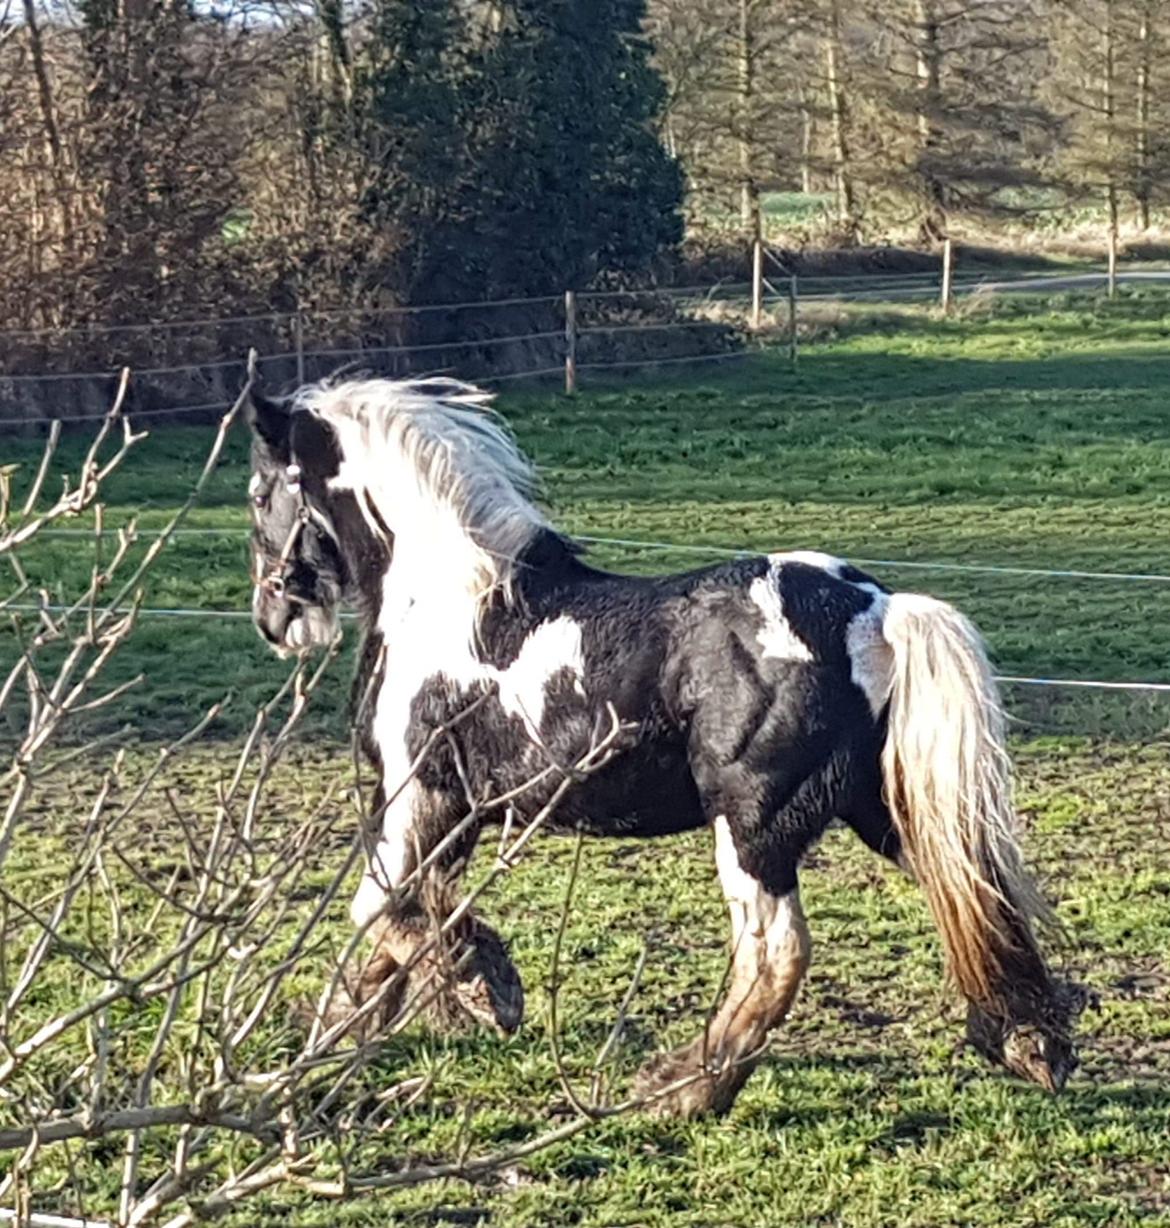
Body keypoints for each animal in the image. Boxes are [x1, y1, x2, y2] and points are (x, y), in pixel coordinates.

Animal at [244, 370, 1075, 1115]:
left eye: (258, 494)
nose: (271, 620)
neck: (453, 600)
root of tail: (874, 608)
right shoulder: (455, 814)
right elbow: (400, 926)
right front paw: (331, 1048)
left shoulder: (417, 794)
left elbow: (380, 910)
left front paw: (484, 990)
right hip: (884, 808)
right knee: (974, 888)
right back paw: (1031, 1044)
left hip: (752, 826)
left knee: (775, 954)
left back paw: (682, 1091)